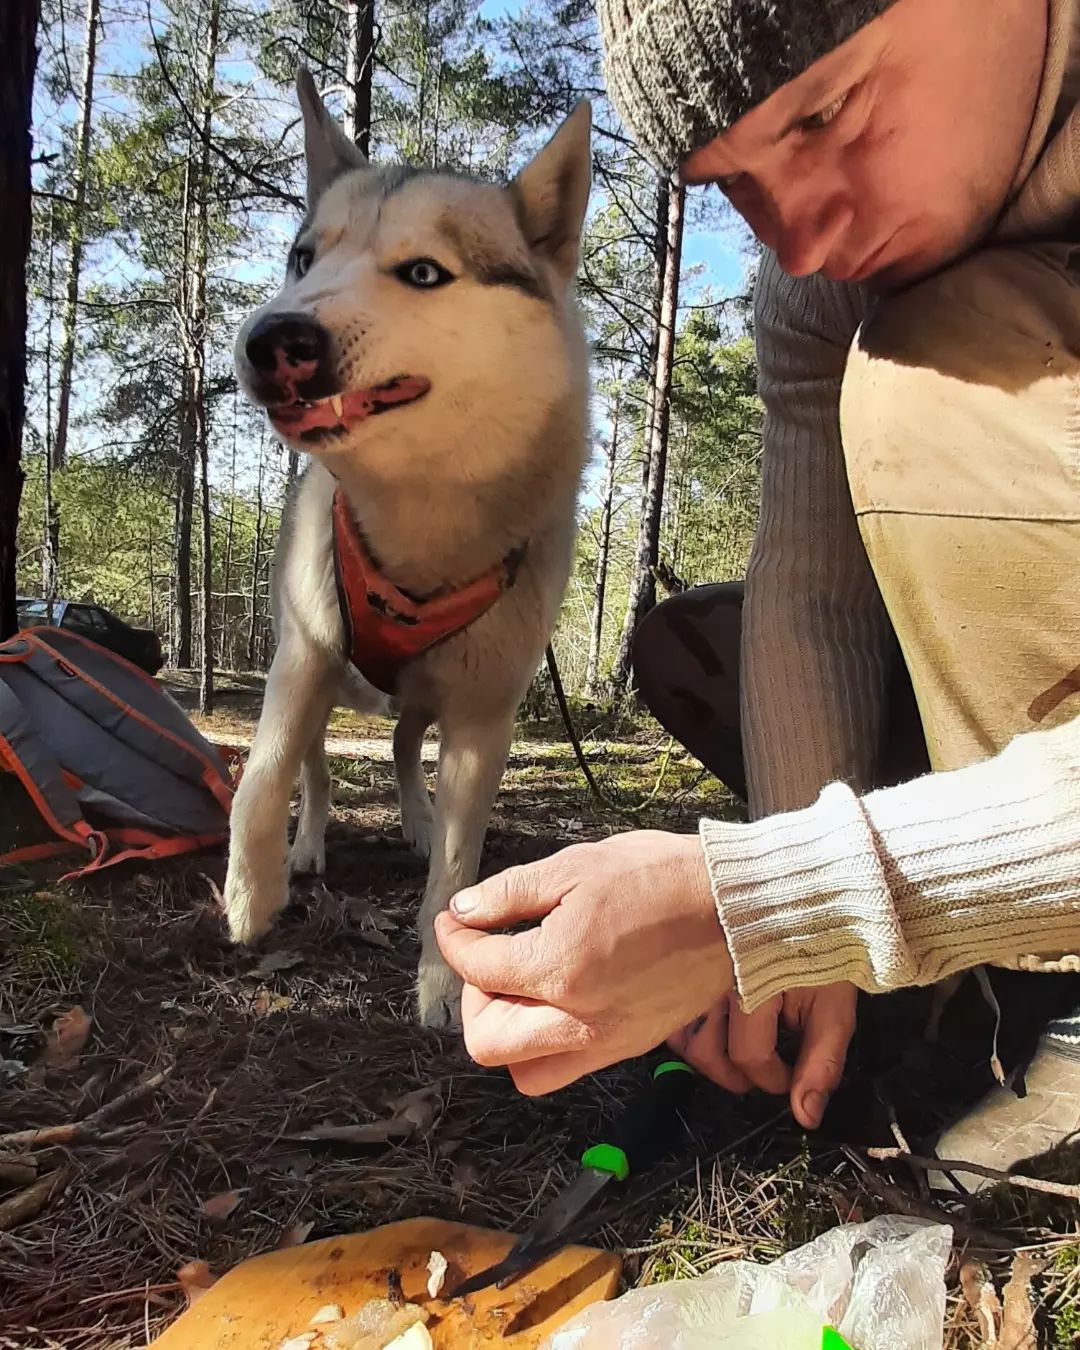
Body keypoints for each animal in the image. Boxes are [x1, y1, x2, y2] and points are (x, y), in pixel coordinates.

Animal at [225, 73, 591, 1020]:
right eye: (303, 258)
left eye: (424, 272)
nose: (272, 340)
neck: (421, 517)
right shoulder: (301, 653)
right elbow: (263, 772)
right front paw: (250, 891)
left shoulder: (484, 716)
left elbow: (459, 868)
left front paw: (443, 980)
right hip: (326, 675)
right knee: (318, 764)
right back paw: (307, 847)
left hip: (431, 695)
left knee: (398, 747)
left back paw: (417, 819)